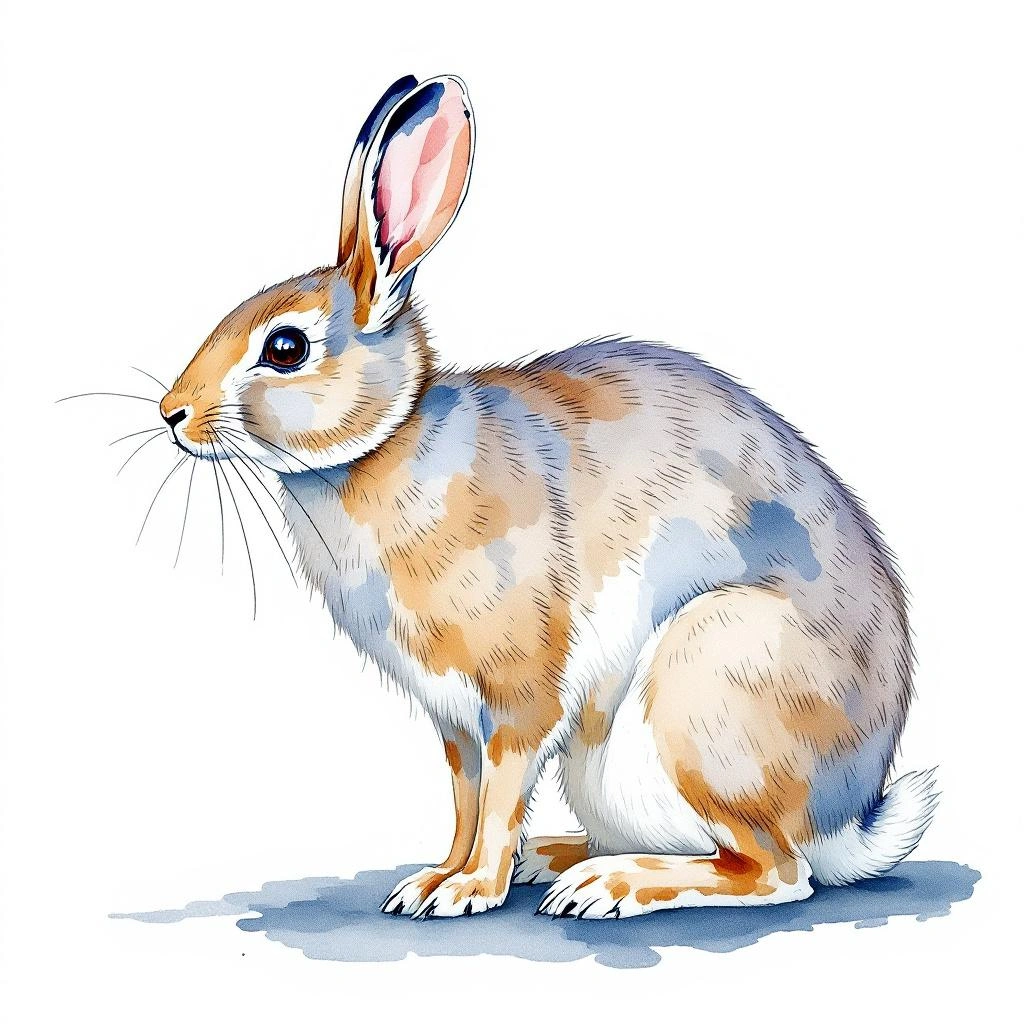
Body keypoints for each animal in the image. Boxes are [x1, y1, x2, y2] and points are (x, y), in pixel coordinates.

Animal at [156, 73, 937, 919]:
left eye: (285, 347)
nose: (171, 413)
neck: (388, 444)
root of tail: (848, 821)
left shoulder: (519, 691)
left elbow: (500, 796)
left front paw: (469, 889)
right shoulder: (454, 720)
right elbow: (466, 799)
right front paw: (432, 879)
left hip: (708, 683)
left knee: (774, 872)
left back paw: (605, 885)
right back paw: (559, 858)